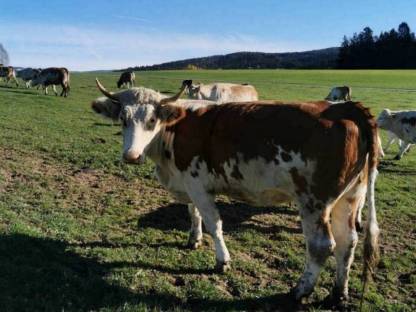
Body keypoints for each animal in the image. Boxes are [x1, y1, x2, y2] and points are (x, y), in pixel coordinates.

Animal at [91, 78, 380, 304]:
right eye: (123, 119)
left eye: (152, 119)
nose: (131, 156)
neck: (174, 130)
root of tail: (347, 107)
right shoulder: (189, 182)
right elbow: (193, 213)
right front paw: (194, 239)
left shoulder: (198, 185)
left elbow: (214, 224)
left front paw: (222, 260)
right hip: (350, 197)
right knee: (347, 242)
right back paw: (338, 292)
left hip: (314, 201)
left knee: (322, 245)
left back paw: (300, 290)